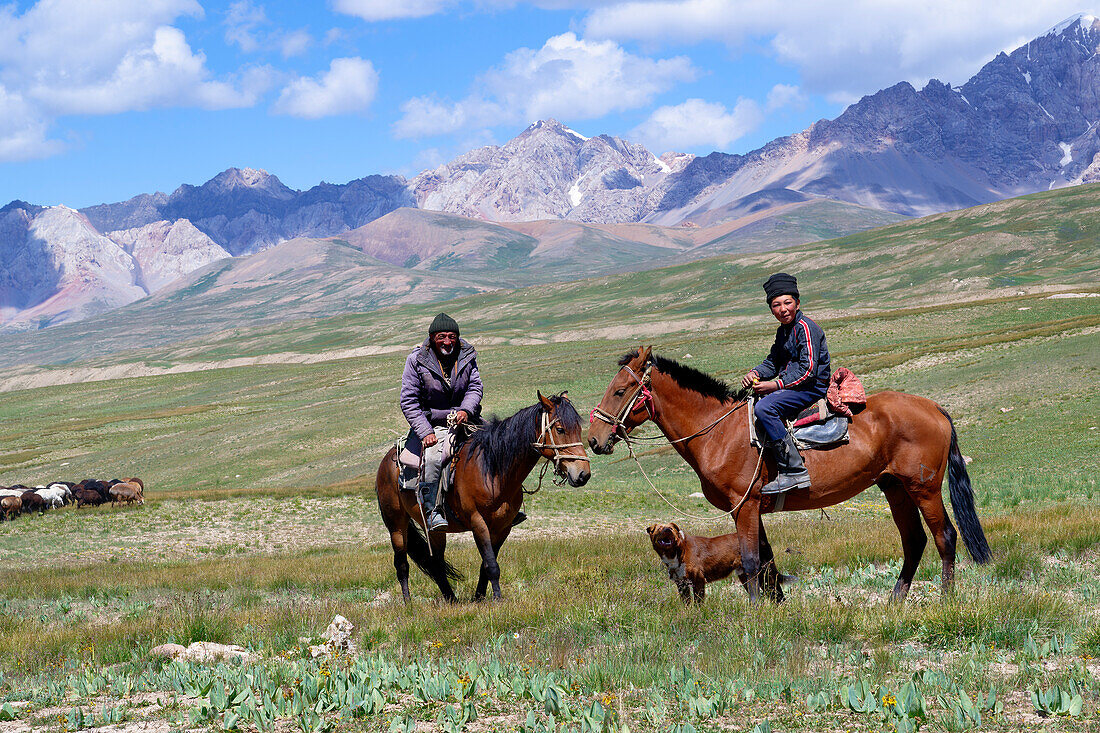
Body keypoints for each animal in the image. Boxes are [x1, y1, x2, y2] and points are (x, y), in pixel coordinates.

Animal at [376, 391, 589, 603]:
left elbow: (486, 564)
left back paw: (451, 599)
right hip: (396, 526)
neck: (492, 469)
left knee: (436, 563)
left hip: (435, 531)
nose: (583, 474)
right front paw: (497, 600)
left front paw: (479, 597)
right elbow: (491, 565)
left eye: (579, 429)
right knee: (402, 565)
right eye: (560, 429)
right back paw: (408, 603)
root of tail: (387, 461)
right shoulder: (478, 522)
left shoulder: (503, 527)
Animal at [642, 519, 792, 598]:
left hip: (763, 574)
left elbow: (698, 603)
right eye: (659, 528)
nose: (667, 530)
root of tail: (762, 541)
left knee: (776, 594)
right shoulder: (681, 584)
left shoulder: (698, 580)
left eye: (672, 529)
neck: (678, 552)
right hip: (746, 576)